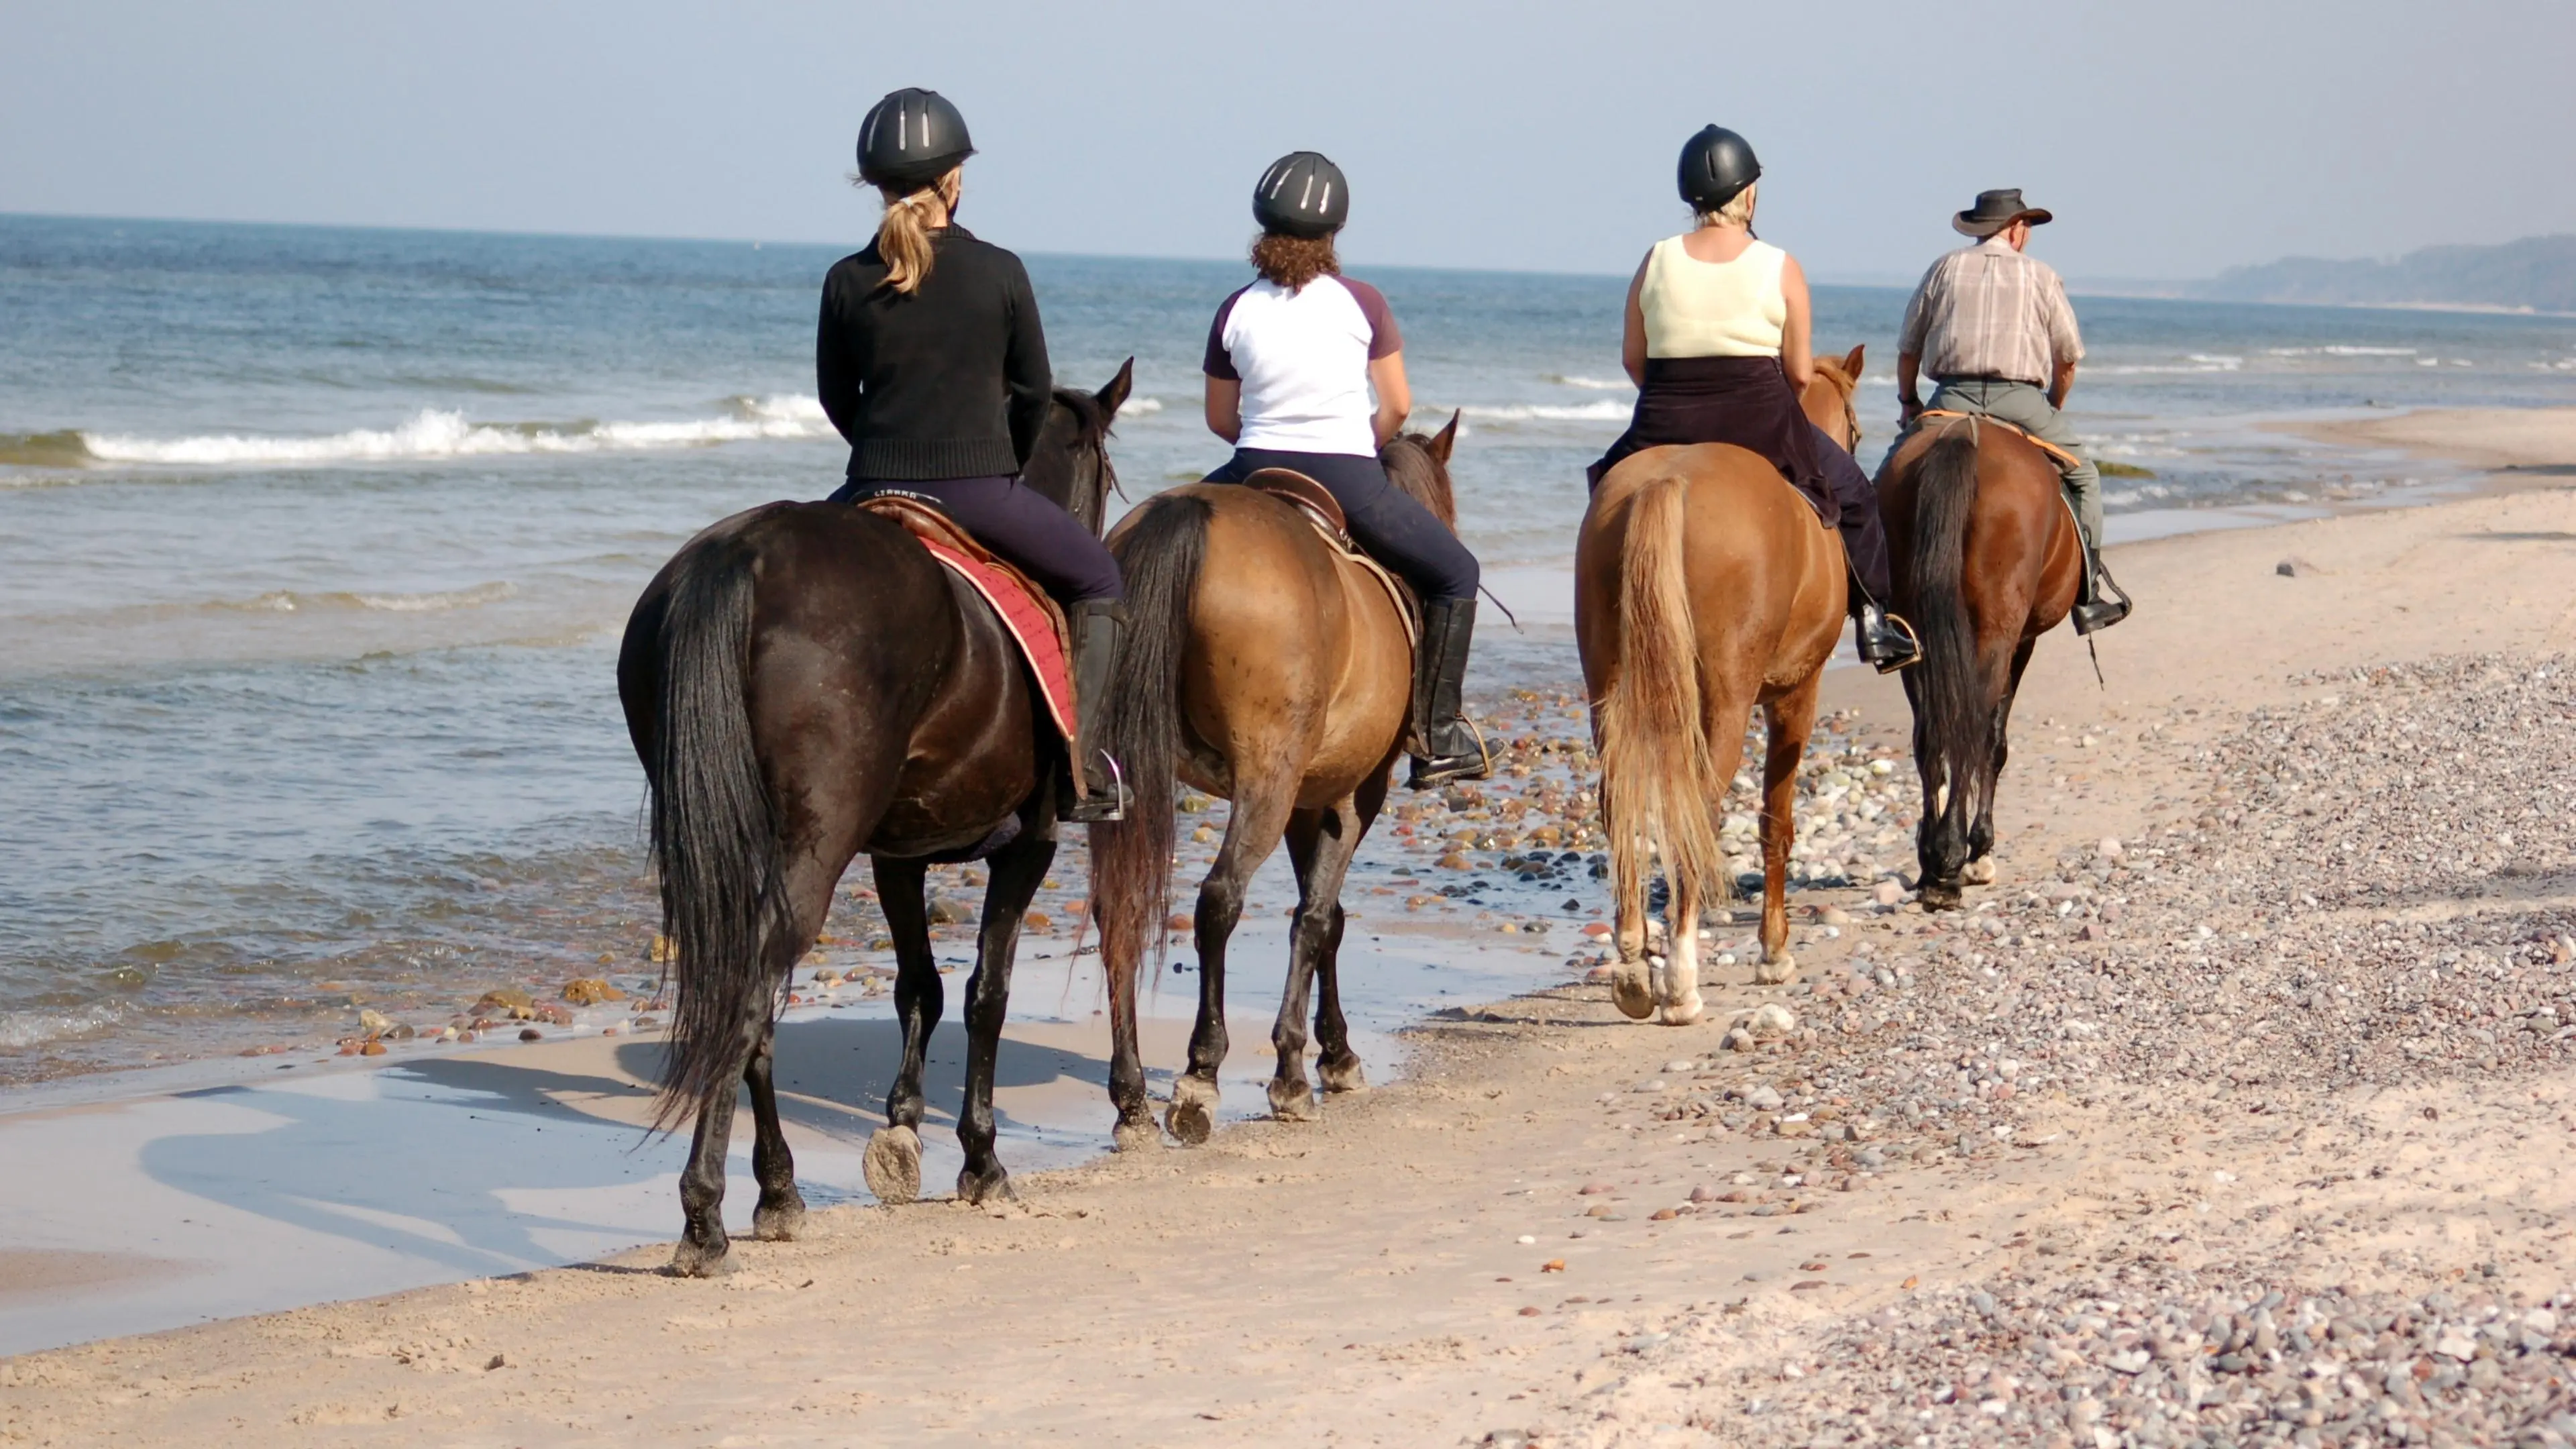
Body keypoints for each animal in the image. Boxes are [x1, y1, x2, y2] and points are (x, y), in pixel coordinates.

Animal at [618, 363, 1133, 1273]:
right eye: (1104, 476)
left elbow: (919, 985)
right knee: (751, 997)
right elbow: (987, 993)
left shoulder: (896, 854)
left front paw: (903, 1130)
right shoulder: (1028, 846)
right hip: (818, 847)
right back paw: (705, 1216)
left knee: (748, 998)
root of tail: (744, 554)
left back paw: (778, 1191)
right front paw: (979, 1158)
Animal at [1077, 412, 1463, 1144]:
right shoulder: (1351, 795)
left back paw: (1132, 1097)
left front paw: (1333, 1052)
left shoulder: (1308, 802)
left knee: (1120, 907)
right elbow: (1317, 918)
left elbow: (1325, 914)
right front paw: (1300, 1069)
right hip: (1266, 778)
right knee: (1219, 898)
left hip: (1124, 776)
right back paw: (1199, 1074)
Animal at [1885, 412, 2081, 902]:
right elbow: (1995, 740)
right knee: (1972, 727)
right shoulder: (2022, 642)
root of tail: (1963, 434)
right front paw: (1980, 849)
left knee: (1930, 733)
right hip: (1997, 632)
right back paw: (1956, 854)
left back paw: (1931, 860)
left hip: (1914, 633)